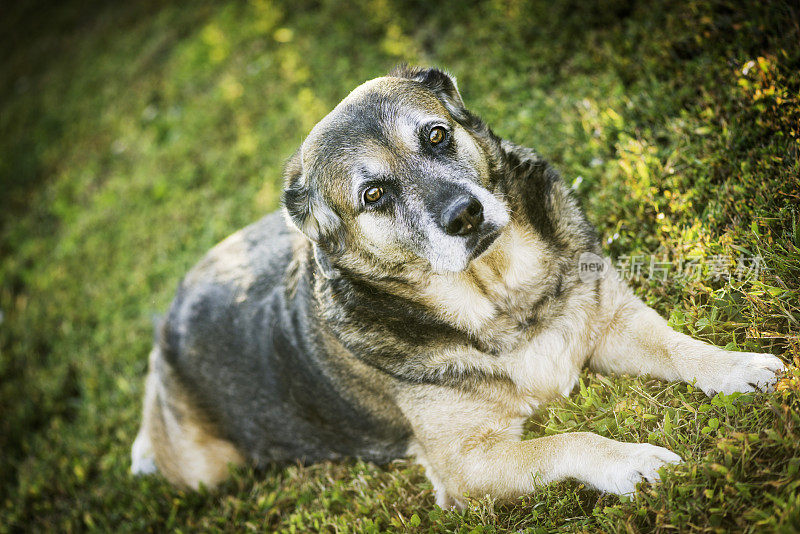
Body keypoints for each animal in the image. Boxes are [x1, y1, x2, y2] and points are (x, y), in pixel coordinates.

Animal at [128, 67, 784, 510]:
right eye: (374, 194)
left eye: (437, 135)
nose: (465, 215)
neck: (498, 294)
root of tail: (170, 311)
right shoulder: (467, 466)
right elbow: (566, 438)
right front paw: (633, 461)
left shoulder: (610, 320)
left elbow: (679, 347)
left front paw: (738, 367)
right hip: (204, 466)